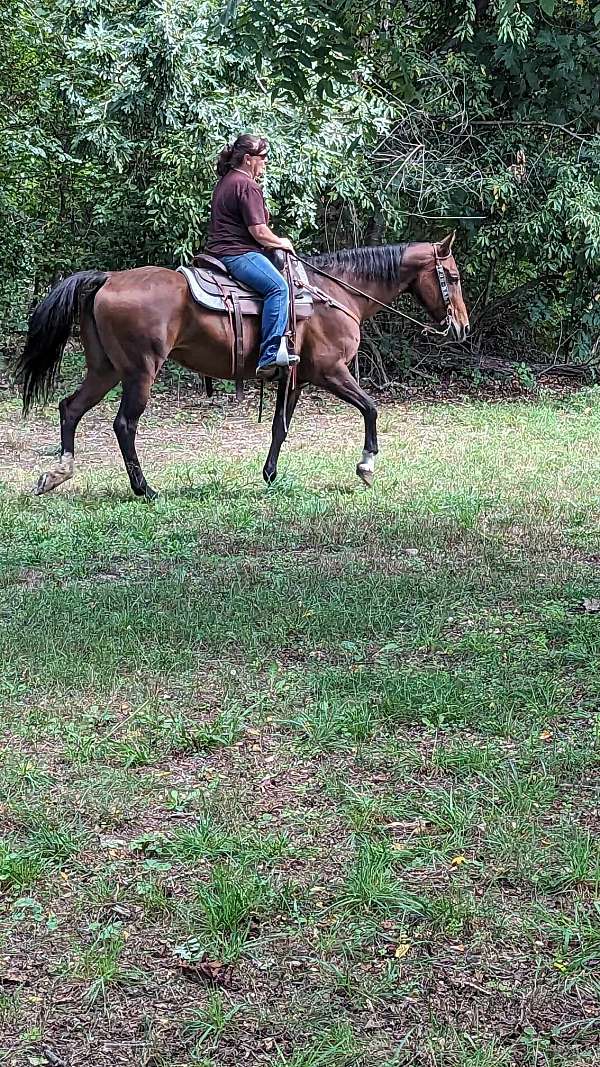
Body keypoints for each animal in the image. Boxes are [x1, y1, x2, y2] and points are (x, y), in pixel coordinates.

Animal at [16, 235, 467, 497]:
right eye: (453, 276)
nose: (461, 327)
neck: (335, 294)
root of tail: (108, 278)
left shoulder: (296, 379)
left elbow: (280, 428)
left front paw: (269, 475)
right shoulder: (331, 371)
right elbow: (371, 409)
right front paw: (366, 466)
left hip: (105, 368)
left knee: (70, 408)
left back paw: (57, 473)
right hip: (140, 372)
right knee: (124, 425)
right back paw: (145, 489)